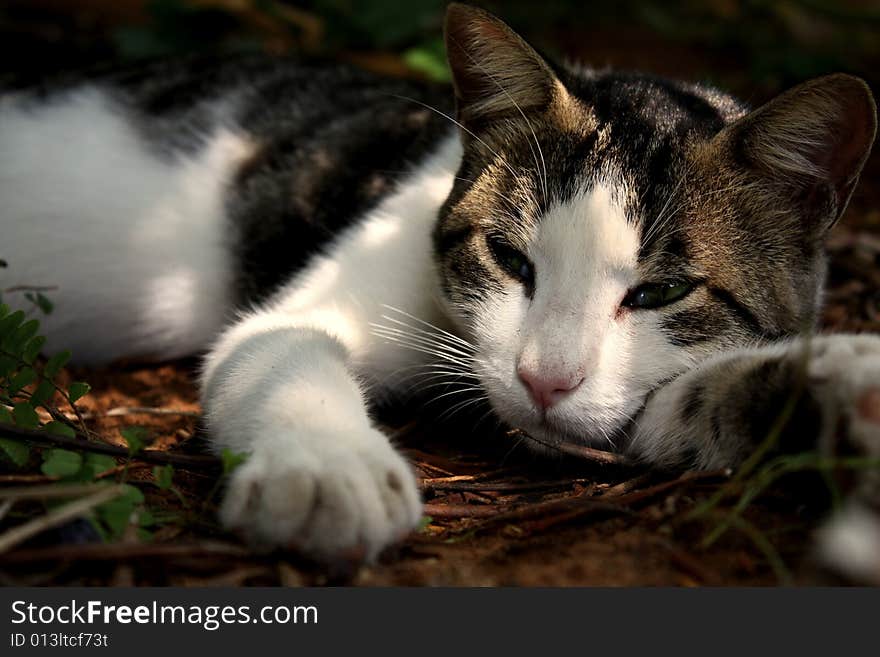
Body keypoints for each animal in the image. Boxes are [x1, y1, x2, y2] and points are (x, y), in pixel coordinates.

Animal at [0, 3, 876, 580]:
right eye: (508, 257)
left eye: (662, 290)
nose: (543, 380)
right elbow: (278, 346)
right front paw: (327, 471)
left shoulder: (629, 406)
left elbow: (686, 409)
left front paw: (842, 382)